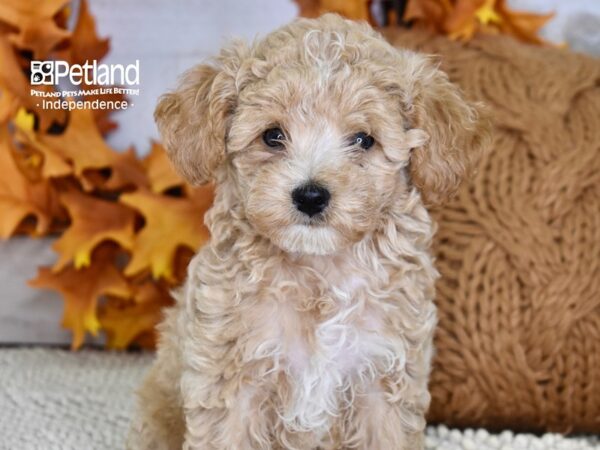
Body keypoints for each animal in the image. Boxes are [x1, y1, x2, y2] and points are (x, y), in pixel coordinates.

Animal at [126, 14, 488, 450]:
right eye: (272, 135)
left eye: (364, 140)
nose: (311, 196)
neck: (320, 273)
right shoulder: (233, 379)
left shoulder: (383, 379)